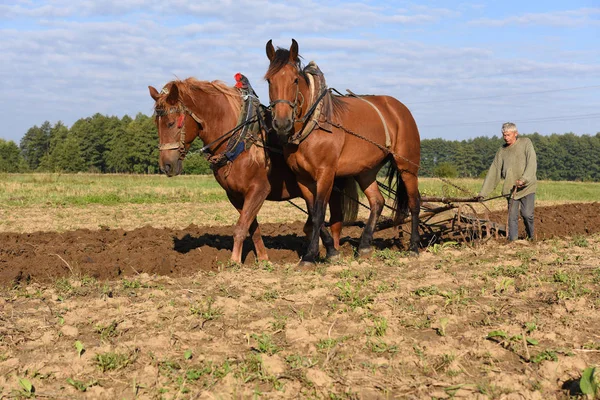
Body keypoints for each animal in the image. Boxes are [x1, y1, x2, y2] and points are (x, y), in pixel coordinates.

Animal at [150, 76, 356, 264]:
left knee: (335, 220)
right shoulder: (235, 195)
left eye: (171, 122)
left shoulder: (259, 189)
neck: (240, 140)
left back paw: (334, 250)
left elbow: (241, 226)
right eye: (156, 124)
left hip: (330, 184)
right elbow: (252, 226)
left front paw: (234, 261)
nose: (166, 166)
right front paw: (263, 258)